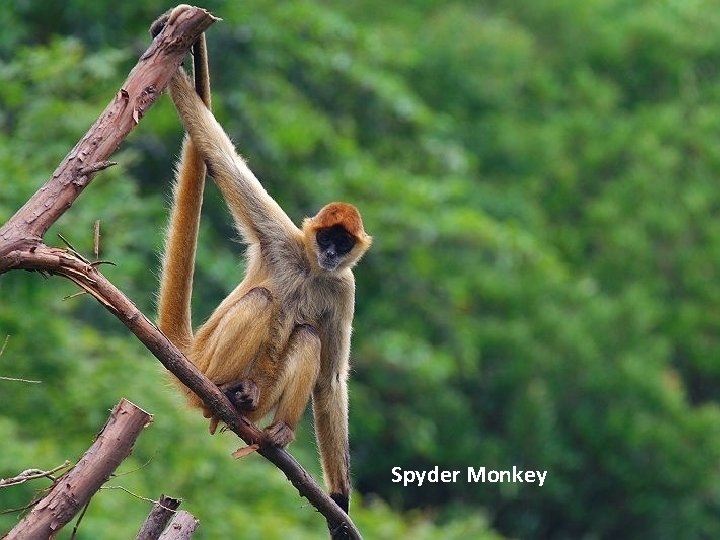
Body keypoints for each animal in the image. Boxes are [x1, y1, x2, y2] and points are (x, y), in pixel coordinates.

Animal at [153, 9, 371, 519]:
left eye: (343, 243)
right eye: (326, 238)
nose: (331, 254)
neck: (311, 270)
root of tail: (192, 352)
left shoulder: (344, 286)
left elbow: (331, 380)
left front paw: (340, 501)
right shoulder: (280, 237)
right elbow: (221, 157)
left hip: (267, 392)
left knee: (308, 334)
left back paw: (275, 427)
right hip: (210, 358)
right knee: (261, 300)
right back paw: (222, 391)